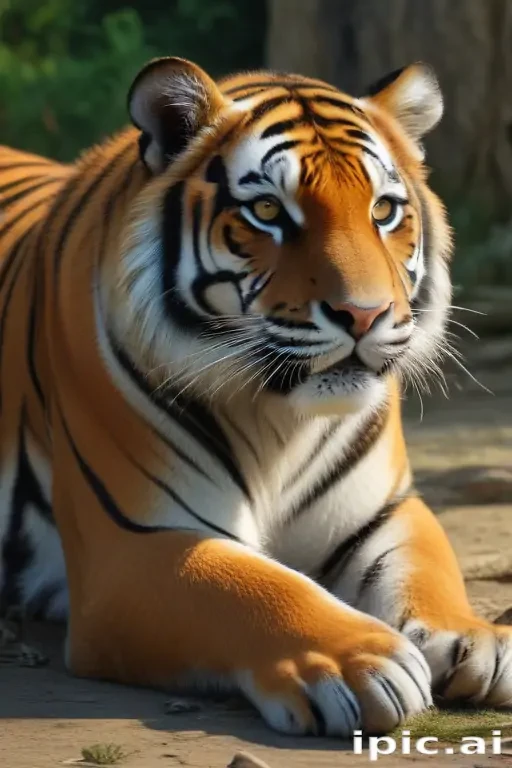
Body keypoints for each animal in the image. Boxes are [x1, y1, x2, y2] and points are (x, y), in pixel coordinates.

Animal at [0, 56, 511, 737]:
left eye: (382, 210)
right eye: (268, 210)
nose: (365, 314)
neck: (280, 420)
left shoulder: (387, 510)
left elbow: (428, 567)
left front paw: (474, 640)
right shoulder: (131, 543)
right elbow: (248, 588)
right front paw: (361, 661)